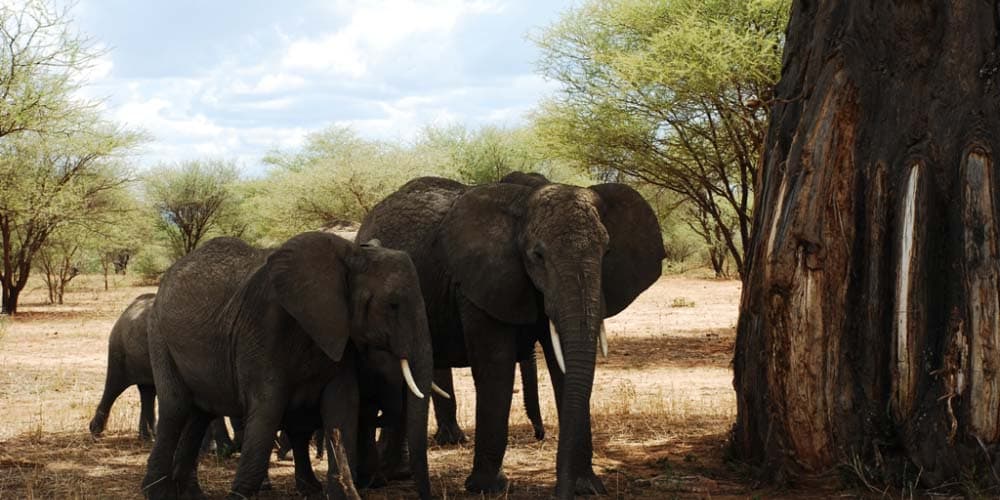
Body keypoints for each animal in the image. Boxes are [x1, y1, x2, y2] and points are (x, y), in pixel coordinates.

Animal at [88, 293, 240, 458]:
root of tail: (129, 307)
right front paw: (220, 451)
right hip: (119, 349)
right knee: (114, 386)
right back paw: (95, 432)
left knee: (147, 390)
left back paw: (148, 437)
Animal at [141, 233, 434, 500]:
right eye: (393, 305)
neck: (349, 255)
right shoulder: (262, 328)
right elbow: (268, 407)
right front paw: (240, 496)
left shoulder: (338, 333)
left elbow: (343, 405)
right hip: (158, 336)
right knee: (176, 408)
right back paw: (156, 493)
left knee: (199, 414)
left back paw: (189, 494)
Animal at [357, 173, 664, 497]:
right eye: (537, 255)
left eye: (606, 252)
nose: (539, 435)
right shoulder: (478, 285)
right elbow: (496, 368)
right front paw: (487, 488)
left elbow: (564, 369)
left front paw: (587, 487)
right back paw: (387, 475)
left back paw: (397, 473)